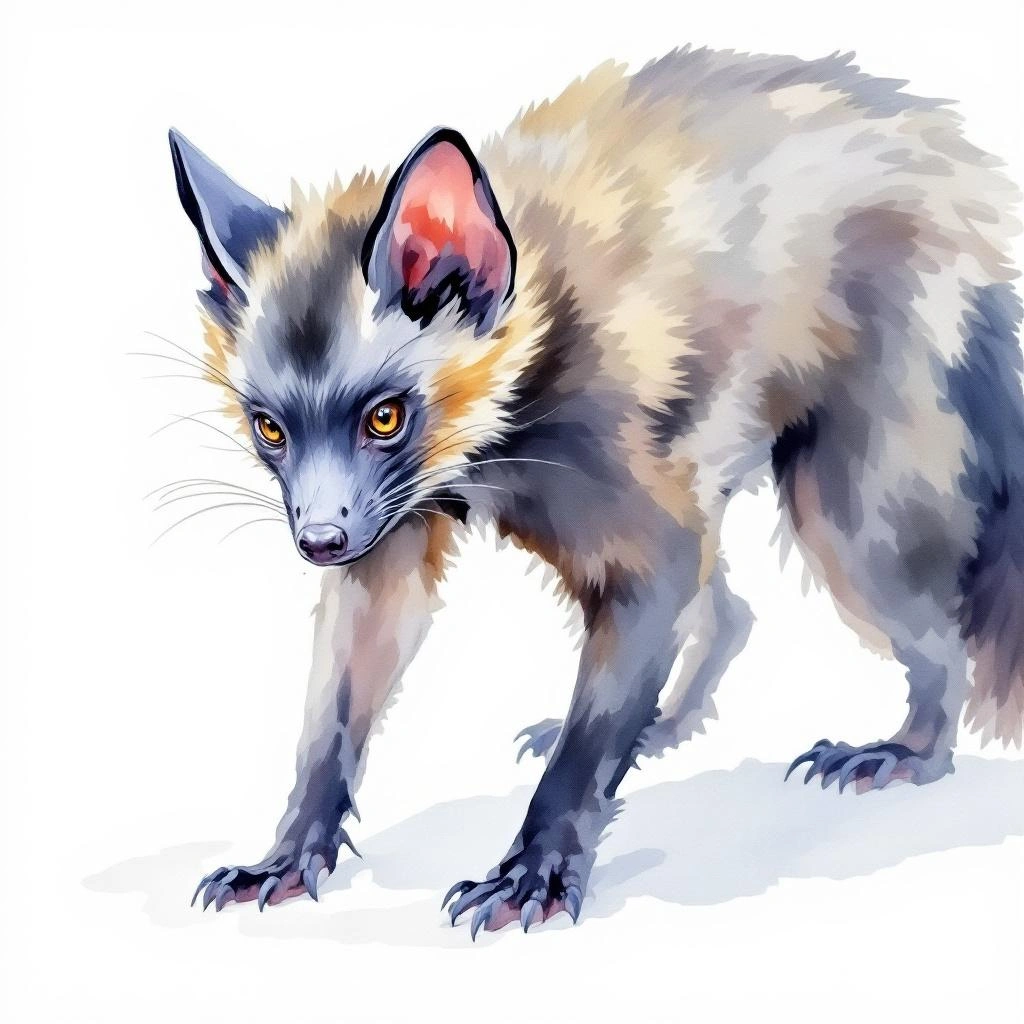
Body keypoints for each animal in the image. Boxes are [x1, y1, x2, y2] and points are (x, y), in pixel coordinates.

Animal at [170, 47, 1023, 937]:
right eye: (269, 428)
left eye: (384, 416)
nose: (319, 543)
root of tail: (949, 162)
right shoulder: (392, 550)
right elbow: (330, 731)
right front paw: (287, 857)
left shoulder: (645, 548)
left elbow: (581, 758)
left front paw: (536, 872)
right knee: (732, 618)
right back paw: (666, 727)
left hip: (842, 524)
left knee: (944, 648)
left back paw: (910, 753)